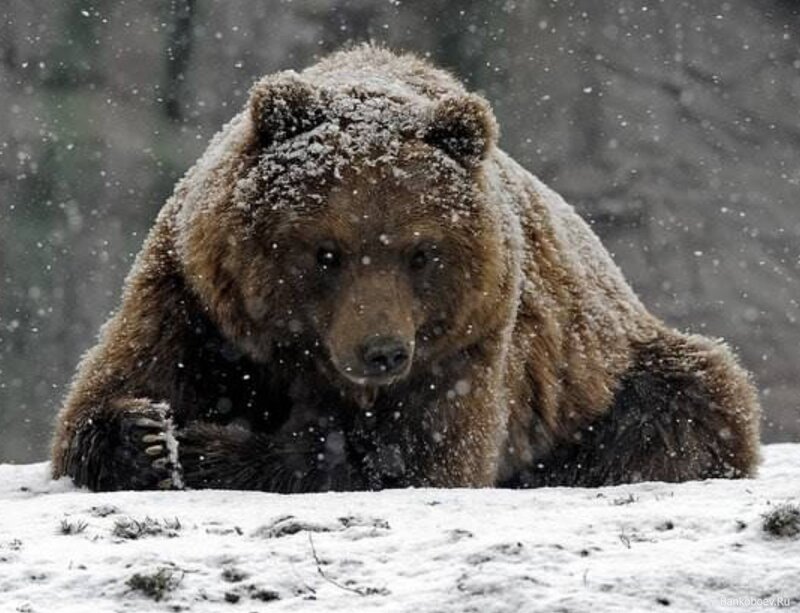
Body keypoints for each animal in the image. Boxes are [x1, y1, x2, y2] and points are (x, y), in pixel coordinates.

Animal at [50, 45, 761, 492]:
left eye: (422, 252)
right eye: (326, 252)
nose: (383, 351)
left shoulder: (470, 338)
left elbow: (415, 456)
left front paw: (210, 451)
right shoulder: (195, 299)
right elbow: (110, 390)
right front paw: (148, 439)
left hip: (606, 373)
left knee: (691, 398)